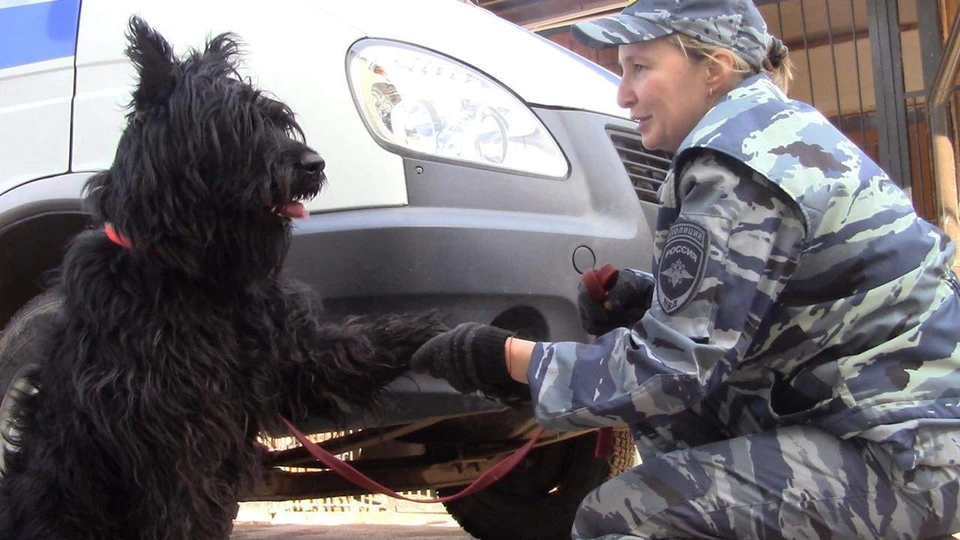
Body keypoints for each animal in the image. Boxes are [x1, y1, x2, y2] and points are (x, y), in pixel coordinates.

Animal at [0, 16, 442, 540]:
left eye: (276, 118)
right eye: (234, 125)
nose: (313, 164)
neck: (201, 277)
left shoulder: (289, 354)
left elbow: (352, 347)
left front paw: (431, 331)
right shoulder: (181, 433)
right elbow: (188, 509)